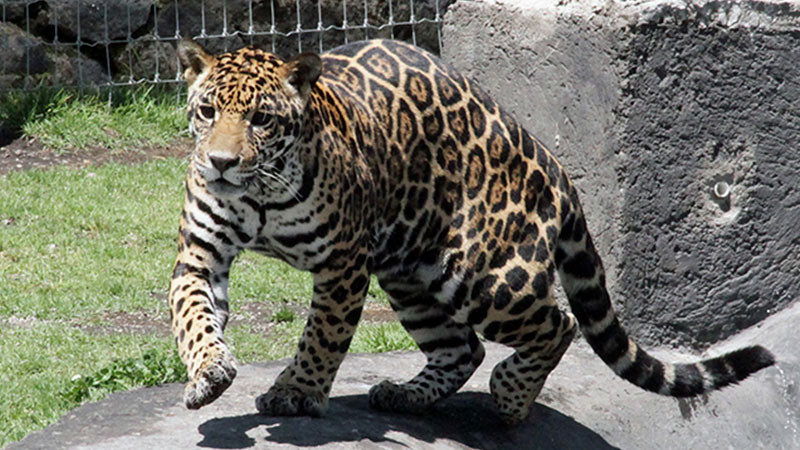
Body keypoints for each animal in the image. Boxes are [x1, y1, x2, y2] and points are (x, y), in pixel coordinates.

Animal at [169, 37, 774, 425]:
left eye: (262, 120)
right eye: (207, 111)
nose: (221, 162)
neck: (259, 192)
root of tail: (553, 162)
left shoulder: (343, 264)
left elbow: (323, 335)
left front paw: (297, 393)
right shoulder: (201, 253)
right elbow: (193, 315)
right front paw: (208, 373)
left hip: (483, 275)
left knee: (557, 324)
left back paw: (509, 401)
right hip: (410, 273)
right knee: (461, 349)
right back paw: (406, 396)